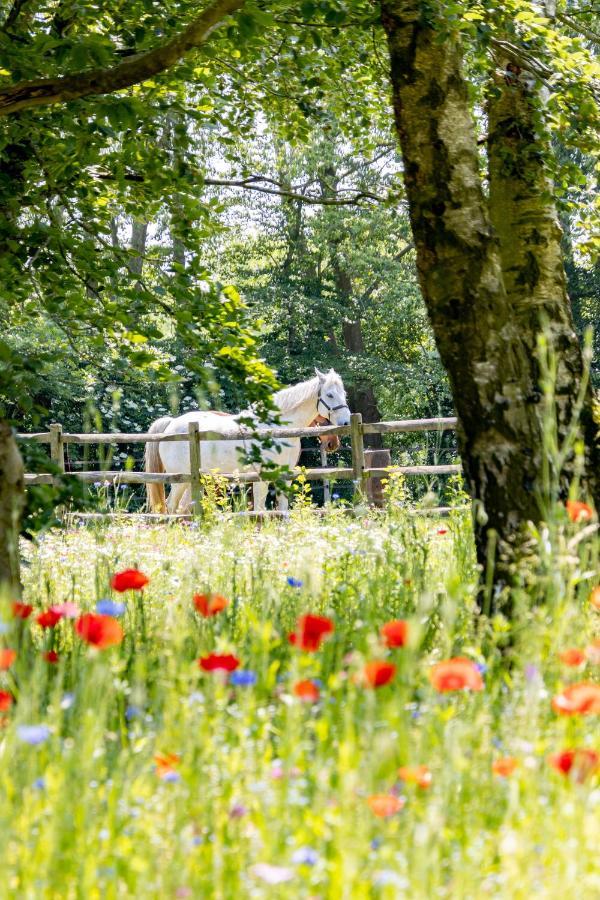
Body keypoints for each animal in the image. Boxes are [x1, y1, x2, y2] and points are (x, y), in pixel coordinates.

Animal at [146, 370, 352, 512]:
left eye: (344, 394)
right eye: (330, 395)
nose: (345, 422)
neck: (275, 429)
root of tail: (171, 424)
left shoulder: (283, 477)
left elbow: (282, 511)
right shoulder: (261, 478)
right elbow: (259, 511)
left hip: (194, 481)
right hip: (179, 481)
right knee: (172, 507)